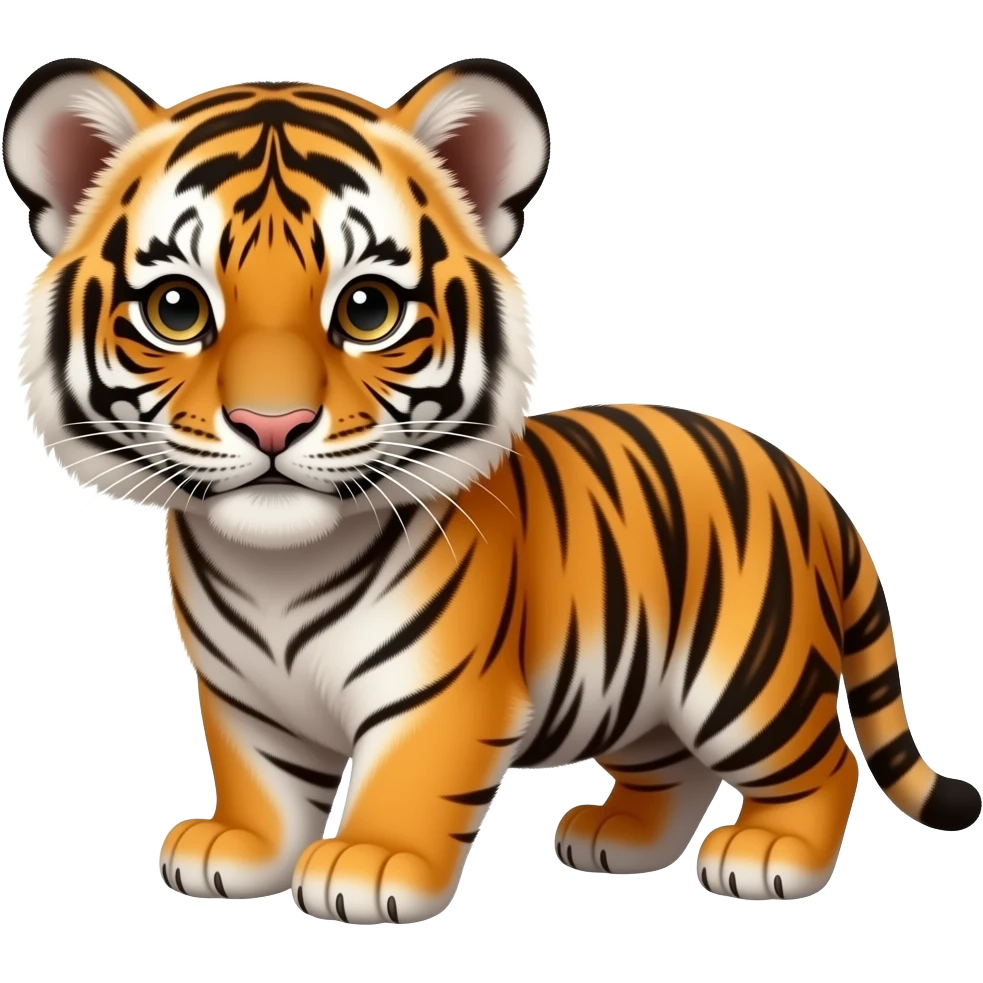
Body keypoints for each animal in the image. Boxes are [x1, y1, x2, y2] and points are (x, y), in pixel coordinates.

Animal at [5, 56, 979, 924]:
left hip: (745, 676)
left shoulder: (440, 693)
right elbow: (263, 781)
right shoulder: (245, 698)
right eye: (176, 308)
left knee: (827, 762)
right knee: (676, 766)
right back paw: (617, 838)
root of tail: (804, 478)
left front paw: (369, 862)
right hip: (647, 696)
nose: (270, 424)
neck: (273, 571)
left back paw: (772, 854)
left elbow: (410, 779)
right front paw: (237, 849)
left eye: (366, 309)